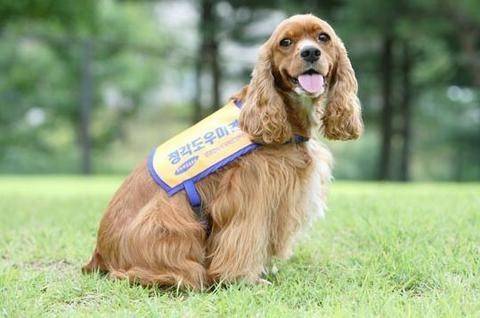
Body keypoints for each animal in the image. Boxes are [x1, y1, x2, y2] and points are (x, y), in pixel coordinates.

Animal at [82, 13, 362, 290]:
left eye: (323, 37)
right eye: (285, 42)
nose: (310, 52)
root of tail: (99, 255)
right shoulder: (250, 192)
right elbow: (245, 237)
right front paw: (245, 279)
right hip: (167, 218)